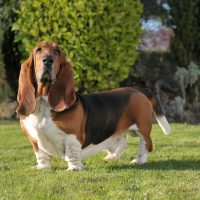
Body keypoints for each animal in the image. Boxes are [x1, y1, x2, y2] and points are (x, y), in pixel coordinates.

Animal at [16, 41, 171, 171]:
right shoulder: (34, 138)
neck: (44, 101)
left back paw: (139, 160)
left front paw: (74, 169)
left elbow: (72, 153)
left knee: (146, 144)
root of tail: (138, 90)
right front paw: (42, 168)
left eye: (57, 51)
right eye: (38, 50)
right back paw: (112, 157)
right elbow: (41, 155)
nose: (47, 60)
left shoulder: (72, 136)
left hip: (142, 128)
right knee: (122, 143)